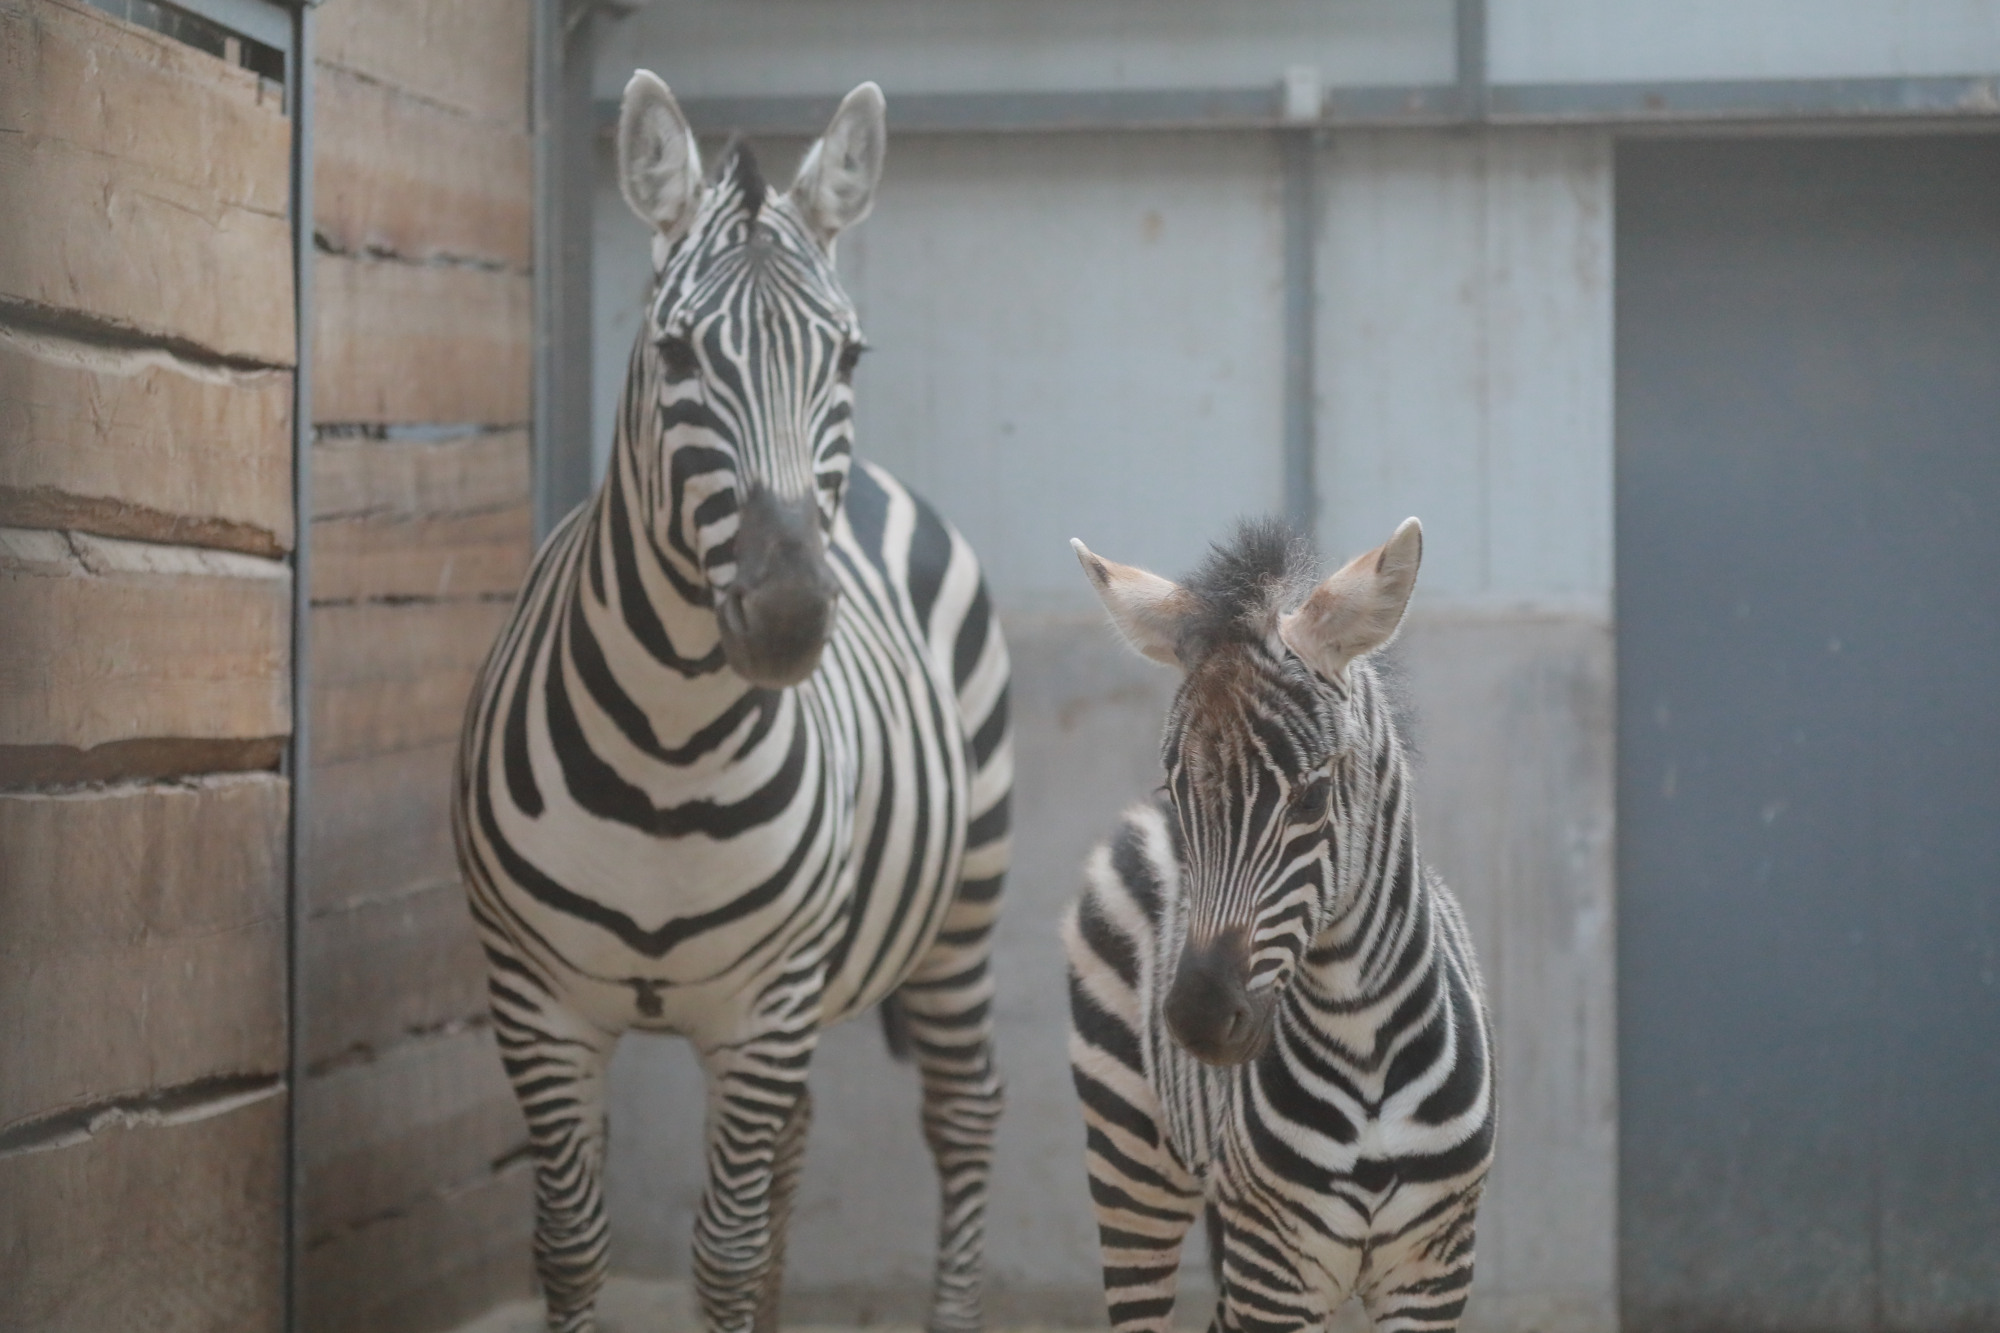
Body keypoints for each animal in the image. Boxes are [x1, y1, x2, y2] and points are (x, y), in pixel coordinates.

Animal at [458, 75, 1016, 1328]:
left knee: (963, 1116)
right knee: (796, 1151)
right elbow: (572, 1244)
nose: (790, 613)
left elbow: (718, 1247)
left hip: (962, 905)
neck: (666, 751)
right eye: (673, 349)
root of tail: (884, 490)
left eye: (849, 355)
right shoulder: (536, 1002)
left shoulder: (763, 1008)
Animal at [1056, 516, 1496, 1328]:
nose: (1198, 1018)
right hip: (1130, 1154)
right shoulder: (1275, 1270)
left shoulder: (1434, 1269)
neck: (1364, 1040)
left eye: (1311, 798)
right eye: (1175, 792)